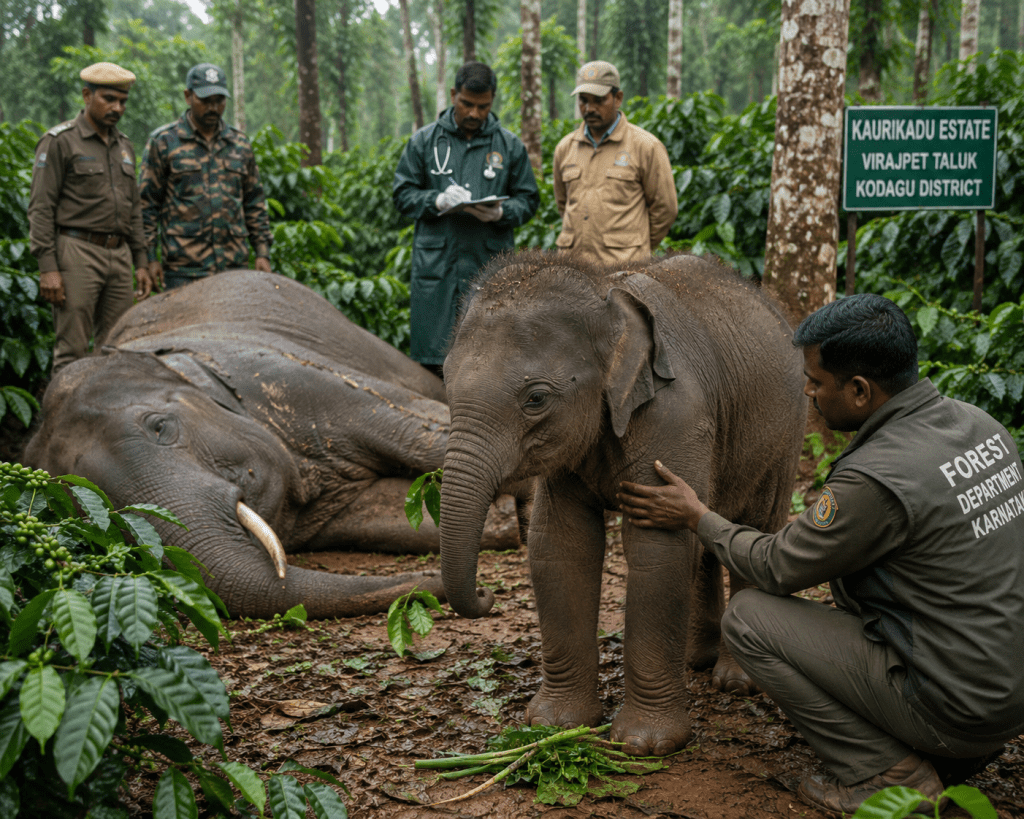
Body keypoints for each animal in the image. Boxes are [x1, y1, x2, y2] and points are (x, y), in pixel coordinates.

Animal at [24, 270, 518, 619]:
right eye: (88, 512)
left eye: (160, 427)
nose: (485, 593)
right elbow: (388, 518)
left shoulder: (284, 375)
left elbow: (421, 430)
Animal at [439, 251, 807, 757]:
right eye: (445, 384)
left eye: (536, 398)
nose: (485, 595)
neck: (604, 295)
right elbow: (560, 545)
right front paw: (555, 725)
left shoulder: (677, 416)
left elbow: (657, 548)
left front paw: (646, 745)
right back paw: (695, 661)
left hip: (785, 434)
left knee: (758, 524)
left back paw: (735, 682)